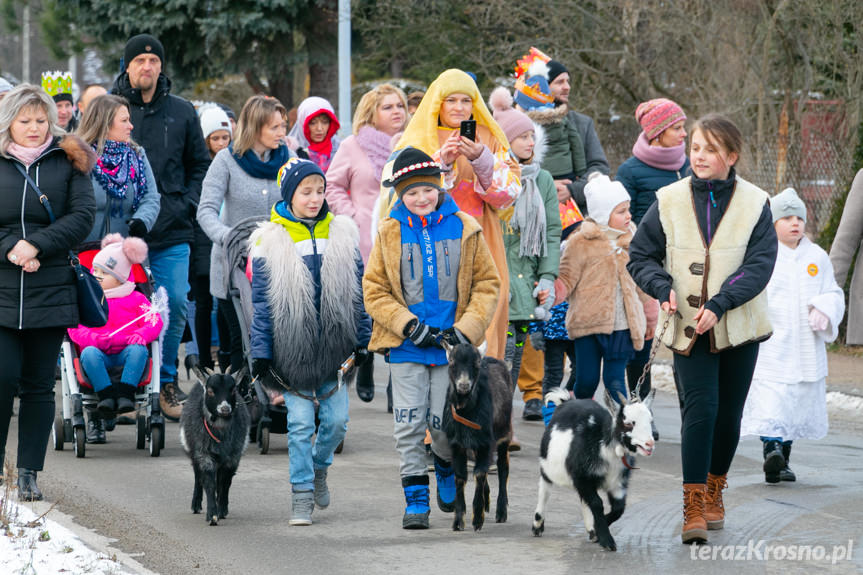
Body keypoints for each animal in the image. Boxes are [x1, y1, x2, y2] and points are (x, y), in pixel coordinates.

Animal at [180, 368, 250, 528]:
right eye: (211, 391)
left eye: (233, 390)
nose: (225, 408)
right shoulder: (203, 453)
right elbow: (209, 482)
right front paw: (212, 515)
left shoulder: (233, 457)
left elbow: (224, 483)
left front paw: (221, 509)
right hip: (195, 453)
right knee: (198, 476)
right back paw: (196, 505)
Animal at [438, 340, 512, 532]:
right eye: (452, 362)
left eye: (476, 364)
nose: (464, 386)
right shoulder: (456, 443)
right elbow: (460, 476)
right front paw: (458, 521)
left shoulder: (487, 442)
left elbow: (479, 474)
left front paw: (477, 519)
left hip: (505, 434)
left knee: (503, 468)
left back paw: (501, 512)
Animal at [528, 390, 660, 552]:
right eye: (628, 423)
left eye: (650, 421)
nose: (649, 444)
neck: (603, 444)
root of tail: (566, 401)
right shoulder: (582, 477)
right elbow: (597, 503)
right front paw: (607, 540)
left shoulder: (617, 483)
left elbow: (618, 508)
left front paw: (597, 530)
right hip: (548, 467)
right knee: (544, 490)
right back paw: (537, 526)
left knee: (583, 499)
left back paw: (590, 529)